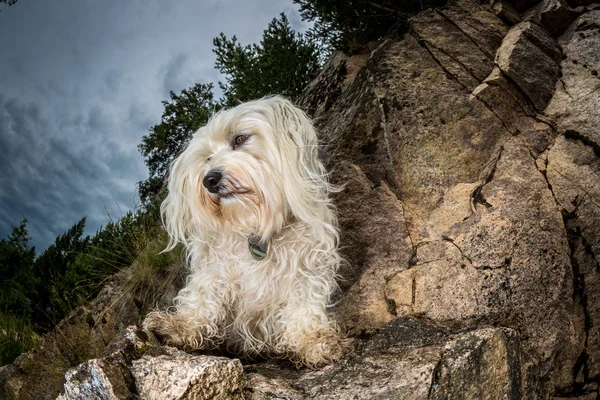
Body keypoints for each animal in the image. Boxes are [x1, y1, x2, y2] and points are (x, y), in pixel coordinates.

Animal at [145, 95, 350, 368]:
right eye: (207, 158)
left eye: (240, 139)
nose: (209, 180)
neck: (253, 226)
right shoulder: (215, 270)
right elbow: (202, 298)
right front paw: (181, 326)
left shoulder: (307, 267)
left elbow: (304, 305)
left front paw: (313, 341)